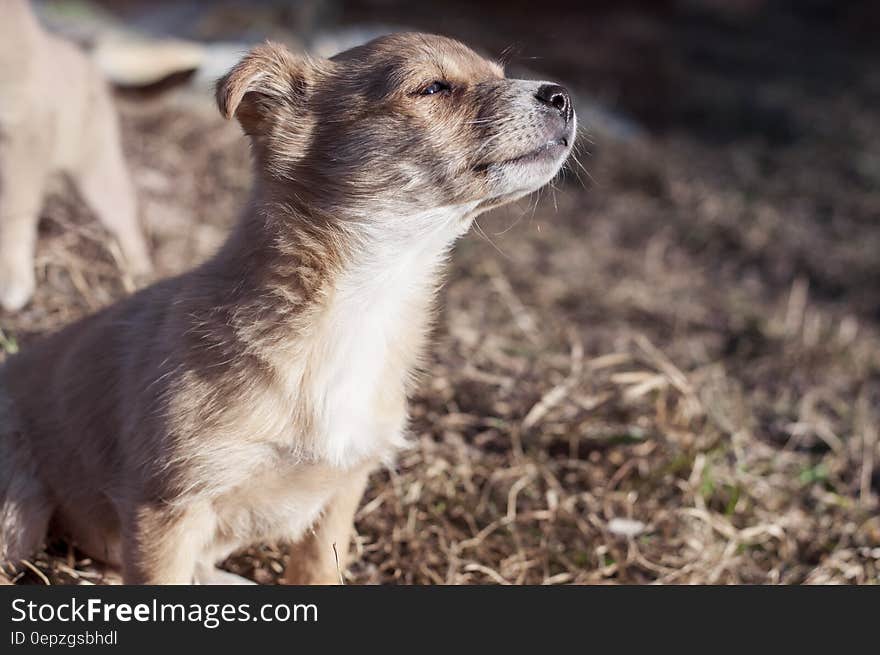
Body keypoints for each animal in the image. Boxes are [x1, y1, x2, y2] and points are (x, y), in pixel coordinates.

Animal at [0, 0, 150, 312]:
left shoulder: (24, 133)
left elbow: (13, 212)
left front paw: (12, 277)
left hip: (95, 168)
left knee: (124, 214)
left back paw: (137, 272)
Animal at [0, 32, 576, 584]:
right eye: (433, 88)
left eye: (499, 74)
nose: (562, 95)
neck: (363, 301)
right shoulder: (167, 507)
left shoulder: (344, 486)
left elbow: (318, 567)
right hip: (19, 517)